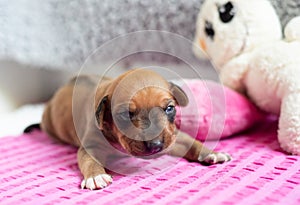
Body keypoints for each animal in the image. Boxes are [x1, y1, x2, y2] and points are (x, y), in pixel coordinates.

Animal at [41, 69, 231, 191]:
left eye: (169, 108)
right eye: (125, 114)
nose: (155, 146)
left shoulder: (174, 136)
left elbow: (192, 142)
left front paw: (211, 152)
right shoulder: (91, 145)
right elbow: (89, 160)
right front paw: (95, 176)